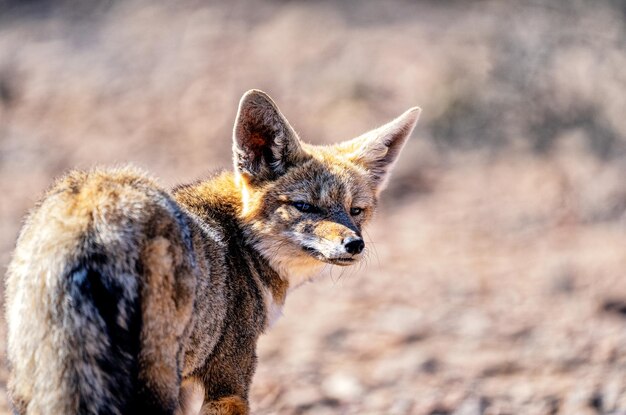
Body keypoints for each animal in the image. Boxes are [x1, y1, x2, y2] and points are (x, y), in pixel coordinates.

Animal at [3, 89, 420, 414]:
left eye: (356, 211)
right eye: (305, 206)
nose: (354, 244)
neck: (239, 242)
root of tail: (93, 209)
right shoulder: (228, 386)